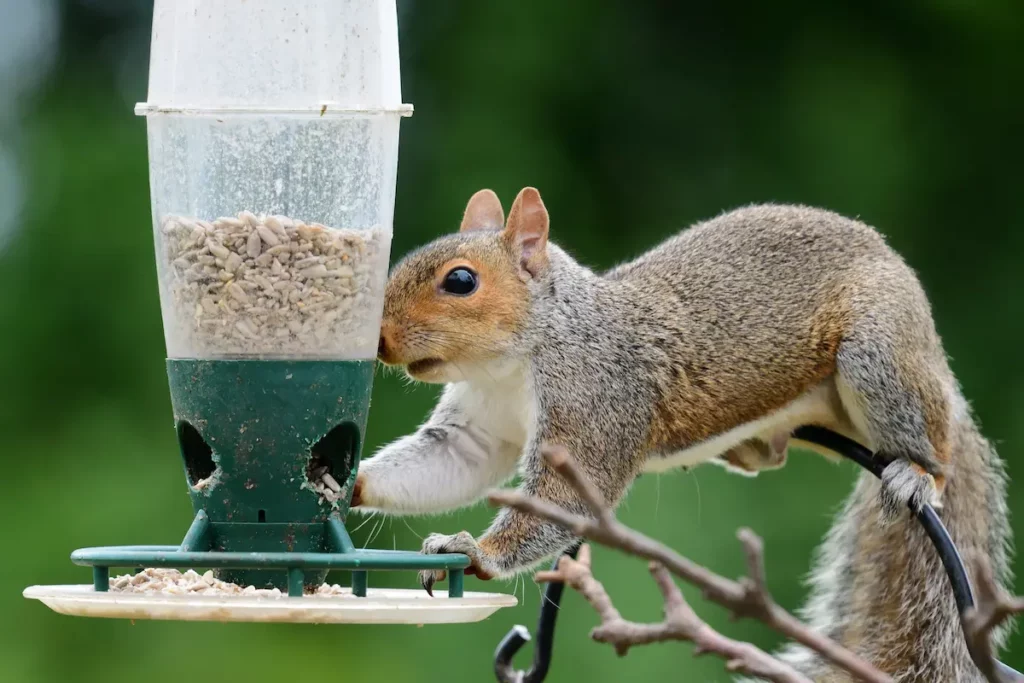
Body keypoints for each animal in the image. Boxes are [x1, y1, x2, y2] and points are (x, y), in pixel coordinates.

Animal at [356, 188, 1011, 683]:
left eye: (461, 281)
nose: (379, 339)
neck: (514, 361)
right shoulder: (479, 427)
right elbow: (452, 464)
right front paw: (346, 482)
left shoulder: (597, 400)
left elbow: (564, 501)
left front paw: (474, 550)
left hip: (879, 357)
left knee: (936, 446)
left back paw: (918, 472)